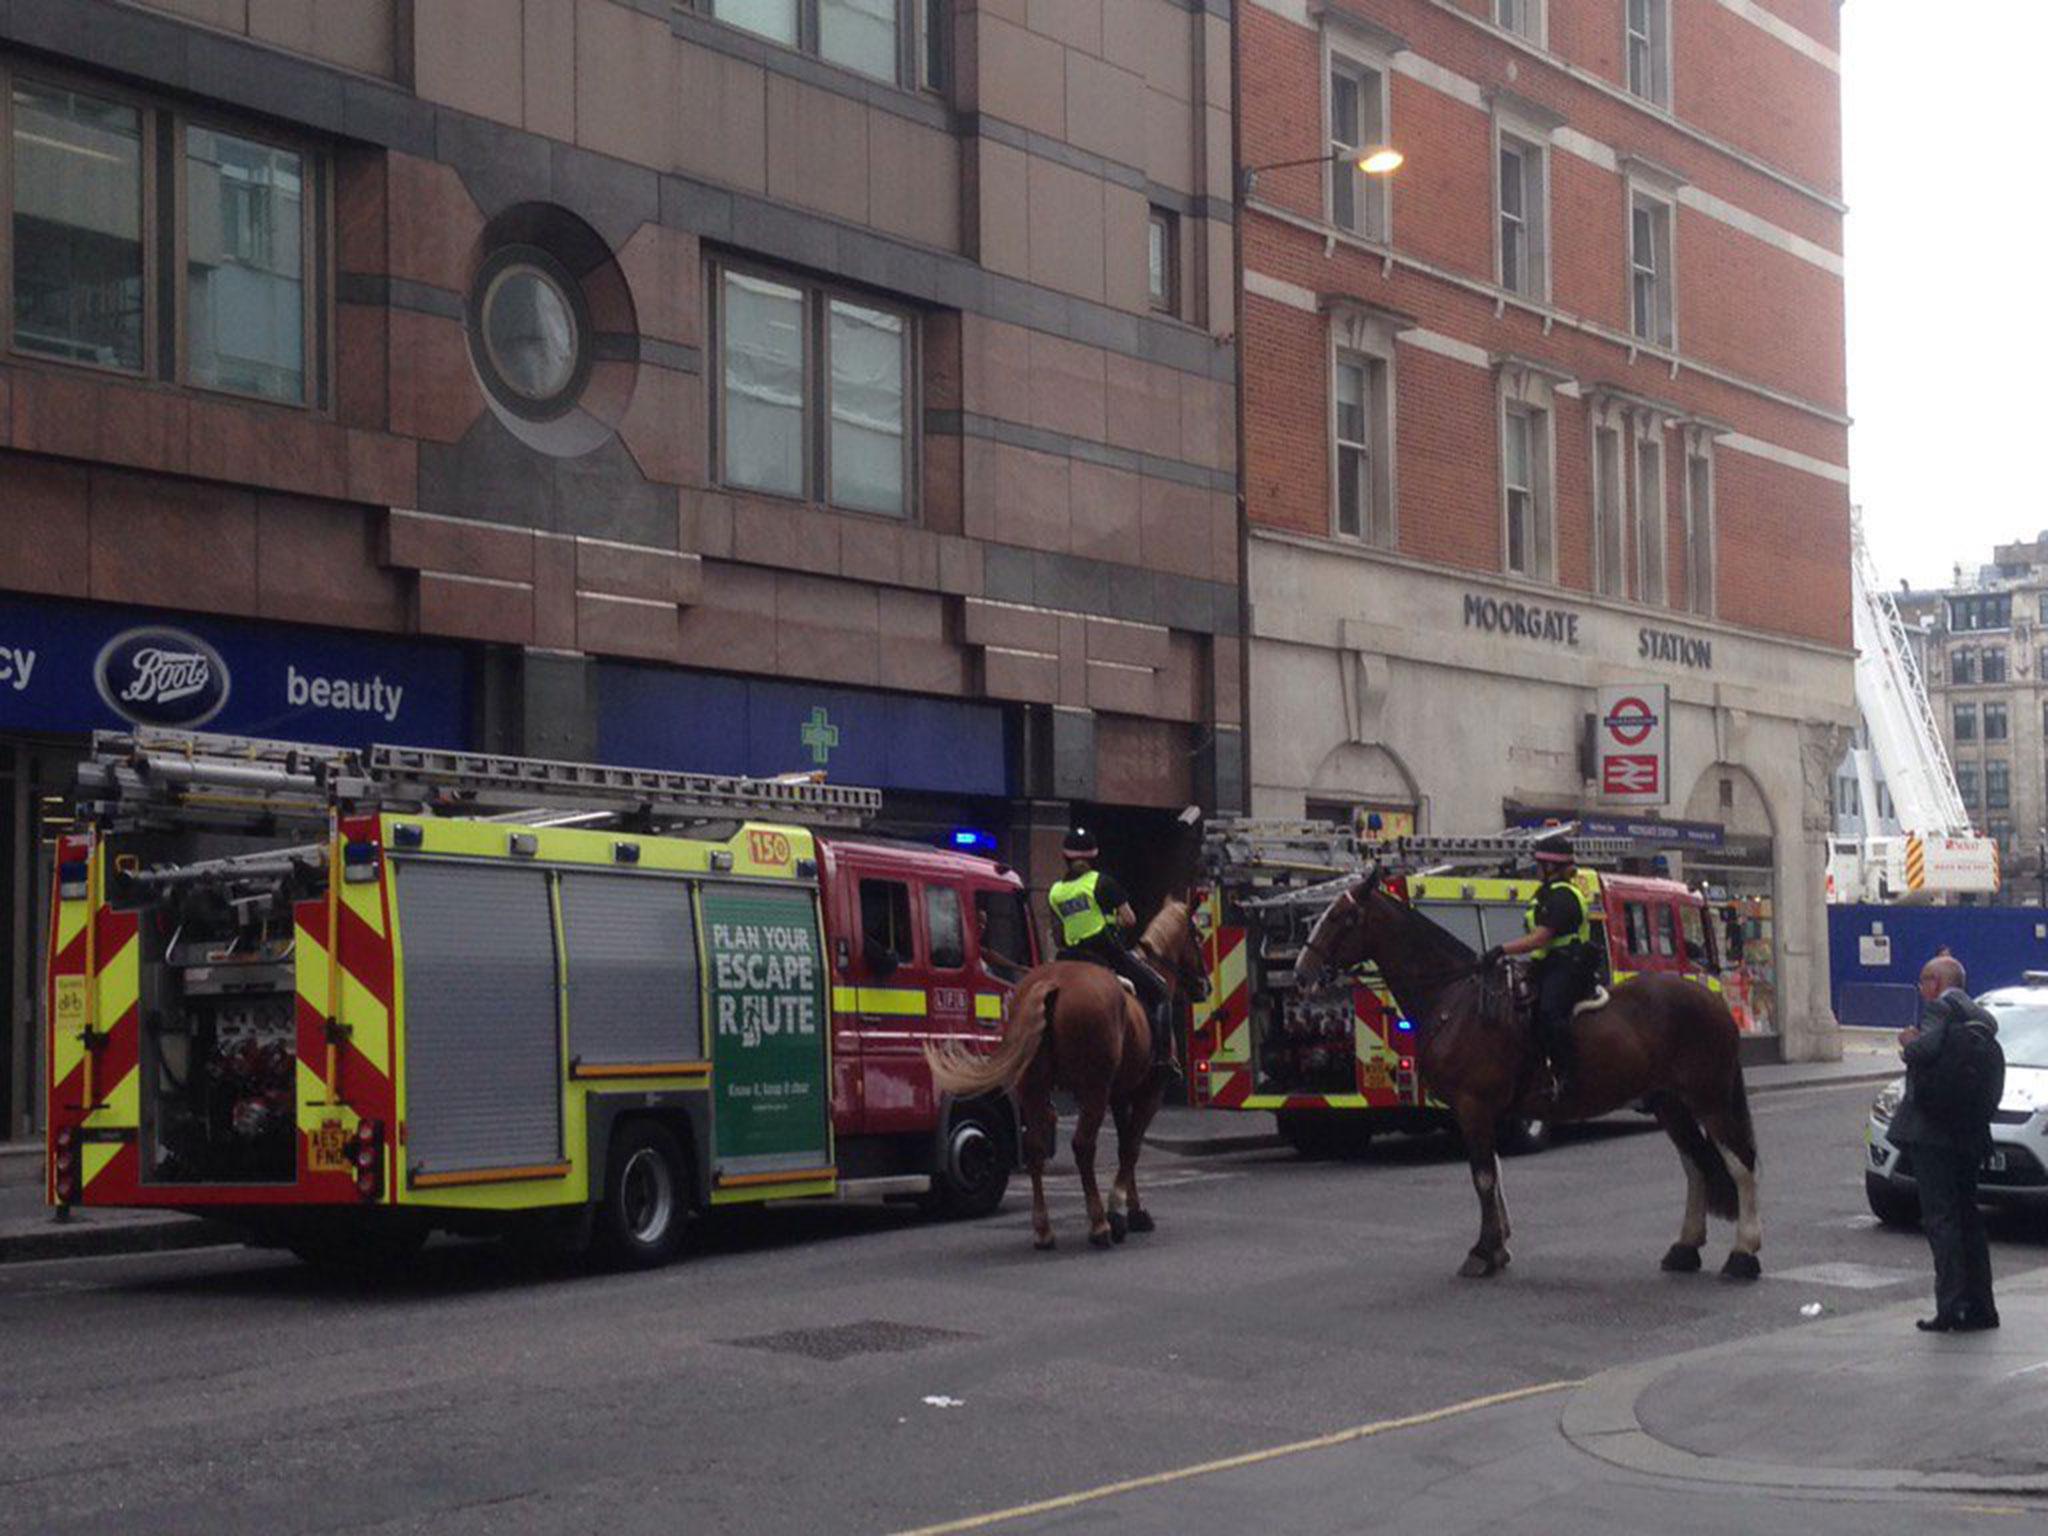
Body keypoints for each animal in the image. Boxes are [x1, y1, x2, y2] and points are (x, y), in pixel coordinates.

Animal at [937, 901, 1204, 1253]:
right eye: (1198, 935)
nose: (1204, 985)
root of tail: (1050, 984)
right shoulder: (1148, 1091)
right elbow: (1131, 1148)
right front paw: (1123, 1211)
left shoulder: (1119, 1093)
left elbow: (1124, 1146)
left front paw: (1131, 1209)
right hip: (1092, 1088)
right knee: (1082, 1146)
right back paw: (1100, 1224)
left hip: (1034, 1087)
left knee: (1035, 1148)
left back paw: (1043, 1230)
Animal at [1294, 872, 1761, 1277]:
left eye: (1341, 917)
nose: (1300, 972)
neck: (1454, 999)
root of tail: (1712, 999)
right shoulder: (1480, 1109)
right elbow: (1493, 1174)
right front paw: (1497, 1246)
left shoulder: (1474, 1104)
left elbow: (1483, 1177)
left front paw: (1483, 1252)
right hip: (1671, 1102)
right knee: (1696, 1165)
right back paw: (1685, 1248)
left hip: (1709, 1096)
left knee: (1739, 1164)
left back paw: (1744, 1254)